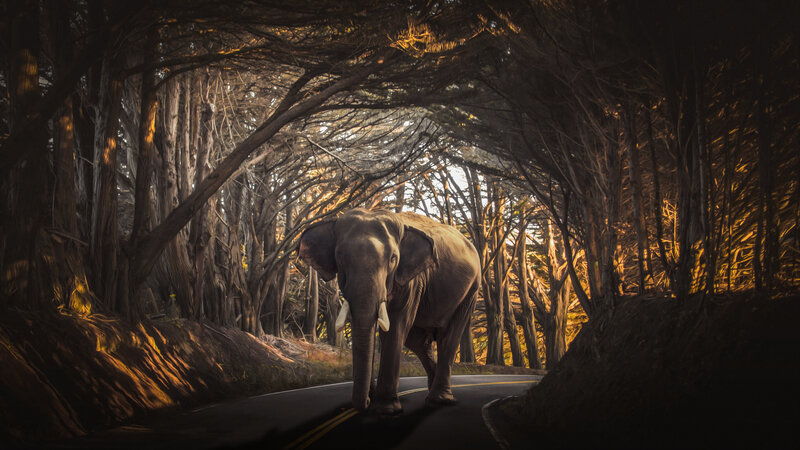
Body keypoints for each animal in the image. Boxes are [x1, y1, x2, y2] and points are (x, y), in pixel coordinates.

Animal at [298, 208, 480, 414]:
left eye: (393, 259)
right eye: (340, 257)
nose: (366, 403)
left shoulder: (412, 281)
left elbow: (395, 327)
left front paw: (386, 409)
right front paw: (374, 398)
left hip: (471, 291)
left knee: (448, 338)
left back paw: (439, 400)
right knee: (418, 341)